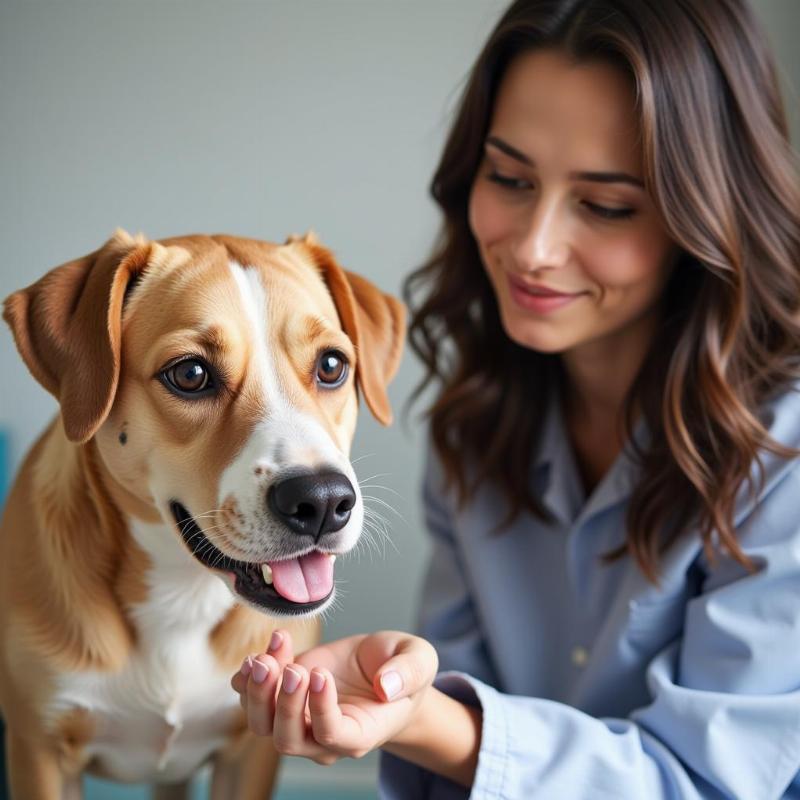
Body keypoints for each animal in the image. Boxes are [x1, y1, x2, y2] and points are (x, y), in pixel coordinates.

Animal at [0, 228, 404, 796]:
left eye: (331, 365)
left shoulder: (251, 752)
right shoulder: (40, 751)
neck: (181, 595)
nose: (323, 501)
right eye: (190, 374)